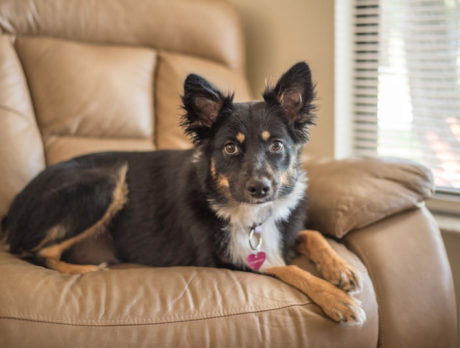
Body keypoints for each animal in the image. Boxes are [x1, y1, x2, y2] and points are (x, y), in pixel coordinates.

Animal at [1, 61, 364, 324]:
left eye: (276, 145)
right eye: (230, 148)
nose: (260, 188)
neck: (251, 215)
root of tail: (14, 206)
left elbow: (311, 233)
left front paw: (341, 269)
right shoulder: (225, 260)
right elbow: (286, 267)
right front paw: (336, 299)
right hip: (104, 183)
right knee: (33, 252)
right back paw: (83, 271)